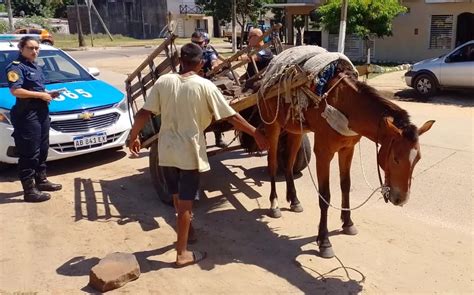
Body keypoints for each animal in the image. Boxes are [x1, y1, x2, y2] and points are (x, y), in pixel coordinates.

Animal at [258, 71, 436, 260]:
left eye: (418, 159)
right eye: (395, 159)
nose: (401, 199)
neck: (347, 106)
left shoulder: (347, 149)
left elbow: (345, 185)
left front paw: (348, 223)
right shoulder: (323, 153)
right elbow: (325, 196)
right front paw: (324, 241)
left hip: (296, 129)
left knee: (289, 164)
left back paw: (294, 200)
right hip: (272, 126)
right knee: (272, 163)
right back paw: (274, 204)